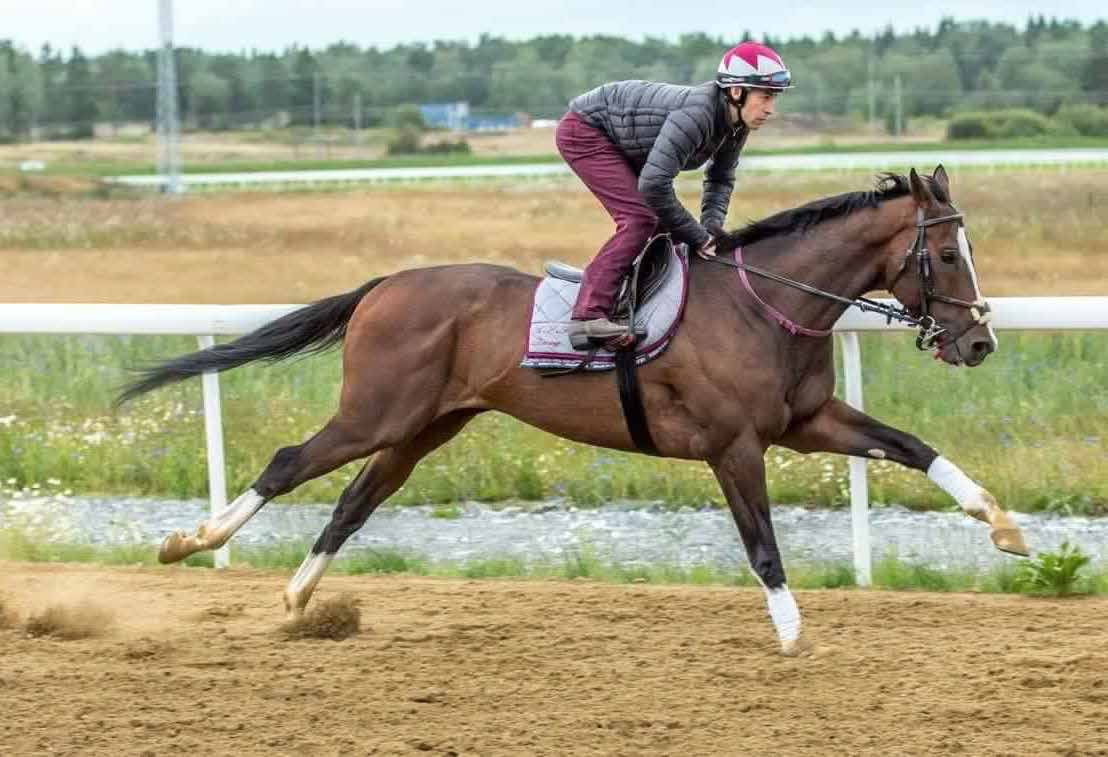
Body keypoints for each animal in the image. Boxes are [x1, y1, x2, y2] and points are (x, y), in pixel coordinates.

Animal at [121, 166, 1028, 656]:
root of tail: (385, 284)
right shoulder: (735, 444)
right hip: (377, 413)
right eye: (948, 253)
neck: (764, 303)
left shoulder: (805, 423)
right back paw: (188, 542)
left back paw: (300, 598)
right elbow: (763, 544)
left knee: (354, 499)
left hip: (424, 426)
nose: (980, 340)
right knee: (288, 464)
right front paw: (794, 632)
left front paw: (1003, 523)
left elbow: (911, 444)